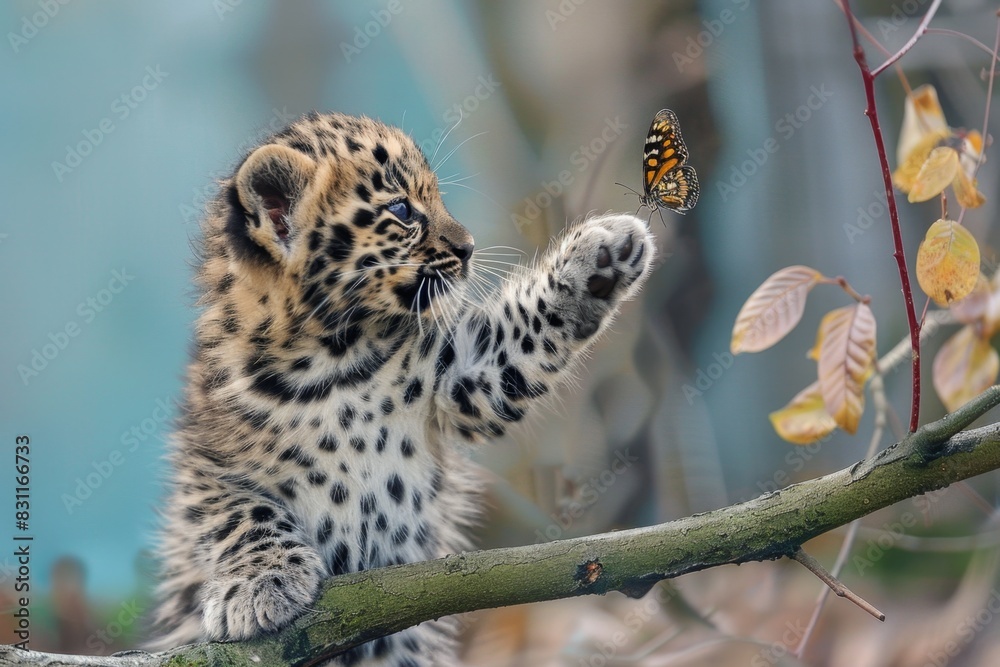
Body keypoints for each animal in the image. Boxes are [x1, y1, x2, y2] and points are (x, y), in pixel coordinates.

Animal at [151, 111, 656, 665]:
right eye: (401, 209)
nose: (468, 248)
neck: (334, 354)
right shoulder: (207, 461)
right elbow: (242, 514)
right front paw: (261, 586)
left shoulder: (464, 375)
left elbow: (519, 333)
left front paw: (602, 256)